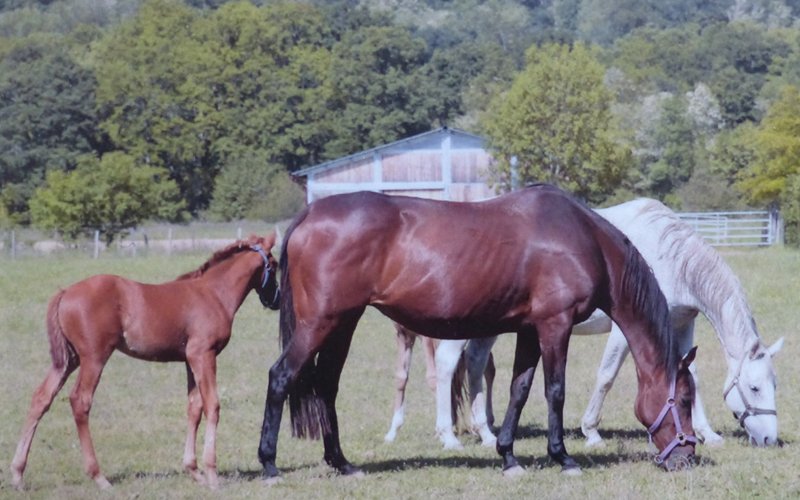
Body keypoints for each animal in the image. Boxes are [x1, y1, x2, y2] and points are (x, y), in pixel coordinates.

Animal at [10, 234, 280, 490]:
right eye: (275, 265)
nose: (276, 300)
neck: (213, 293)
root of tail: (65, 292)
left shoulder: (190, 359)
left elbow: (194, 408)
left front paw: (194, 471)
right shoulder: (204, 354)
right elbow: (212, 405)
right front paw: (212, 474)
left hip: (68, 360)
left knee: (41, 398)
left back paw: (17, 474)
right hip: (94, 357)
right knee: (80, 401)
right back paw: (98, 477)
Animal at [257, 184, 697, 482]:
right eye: (685, 400)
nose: (687, 457)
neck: (582, 238)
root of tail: (310, 213)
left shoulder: (529, 329)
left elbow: (519, 389)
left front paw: (509, 457)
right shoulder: (555, 325)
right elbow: (554, 390)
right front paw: (563, 457)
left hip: (342, 323)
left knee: (326, 385)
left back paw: (343, 464)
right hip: (321, 323)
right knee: (280, 376)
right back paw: (269, 464)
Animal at [390, 197, 783, 451]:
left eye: (774, 384)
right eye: (754, 387)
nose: (770, 439)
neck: (668, 255)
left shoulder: (681, 326)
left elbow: (693, 376)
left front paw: (706, 433)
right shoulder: (624, 331)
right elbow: (606, 376)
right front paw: (591, 431)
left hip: (490, 327)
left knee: (474, 364)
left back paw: (485, 432)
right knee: (446, 366)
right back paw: (449, 436)